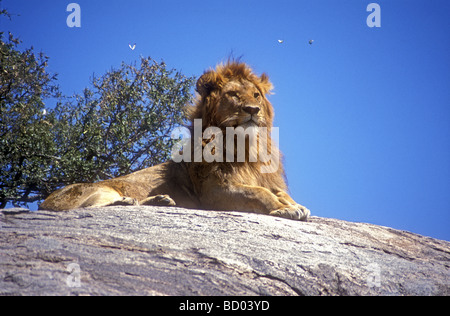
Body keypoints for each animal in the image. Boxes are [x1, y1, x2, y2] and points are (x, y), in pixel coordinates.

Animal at [39, 61, 310, 220]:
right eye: (233, 94)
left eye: (256, 95)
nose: (253, 109)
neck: (245, 147)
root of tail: (43, 204)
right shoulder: (214, 192)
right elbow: (259, 193)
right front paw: (286, 209)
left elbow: (275, 191)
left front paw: (296, 205)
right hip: (97, 189)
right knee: (88, 208)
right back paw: (131, 200)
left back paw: (159, 200)